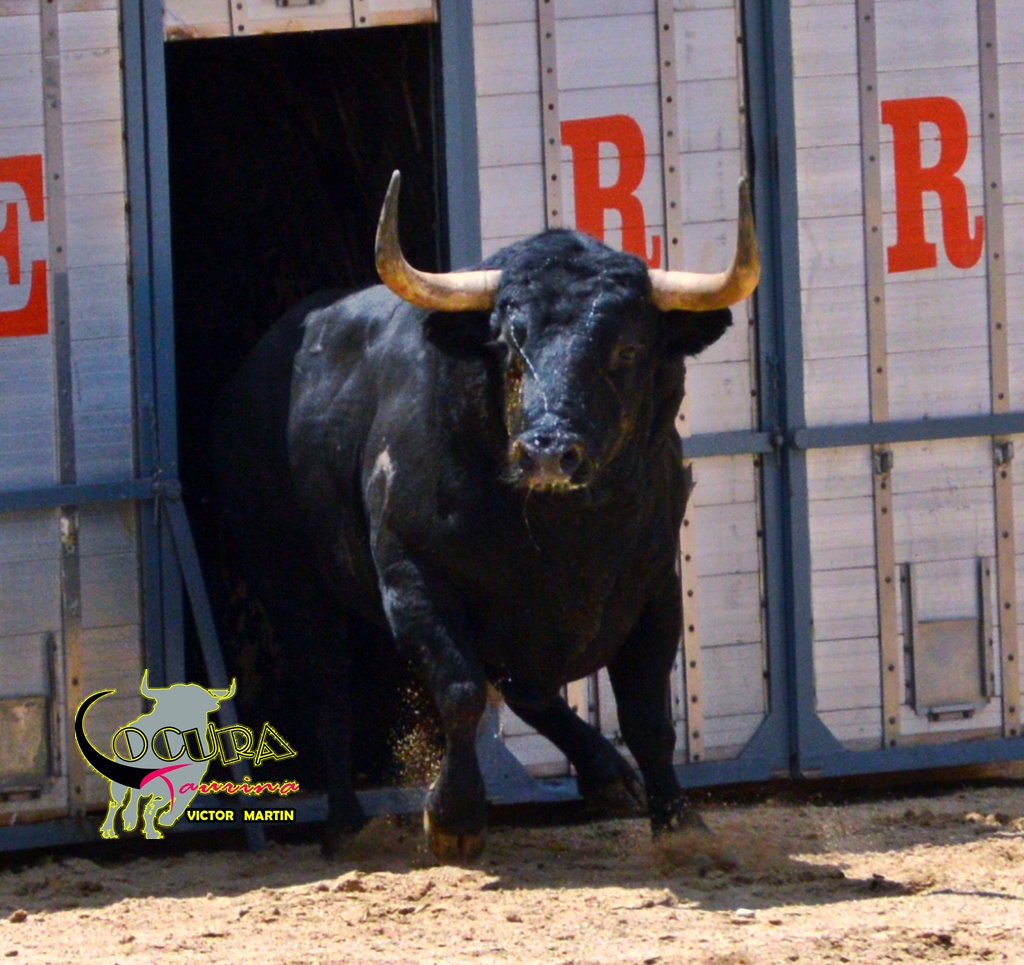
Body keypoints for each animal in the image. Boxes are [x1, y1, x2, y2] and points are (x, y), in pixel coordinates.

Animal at [213, 171, 759, 862]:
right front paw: (453, 818)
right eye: (506, 344)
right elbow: (461, 690)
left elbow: (647, 717)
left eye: (630, 349)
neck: (566, 537)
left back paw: (608, 775)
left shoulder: (656, 585)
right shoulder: (414, 578)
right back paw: (347, 825)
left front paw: (679, 823)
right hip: (289, 580)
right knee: (328, 686)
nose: (548, 451)